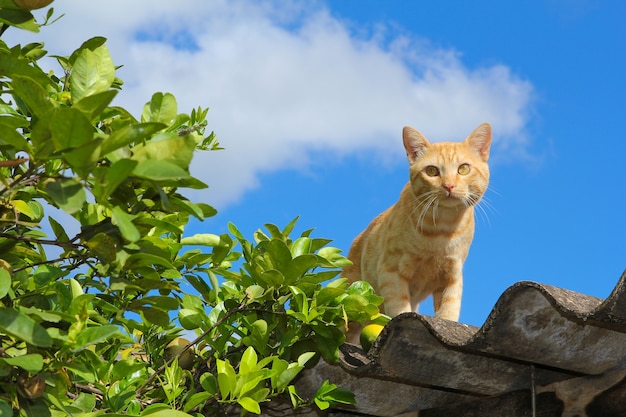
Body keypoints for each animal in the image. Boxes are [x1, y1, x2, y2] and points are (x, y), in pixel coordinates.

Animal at [342, 122, 492, 322]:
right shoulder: (391, 271)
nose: (449, 185)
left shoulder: (452, 276)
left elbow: (449, 311)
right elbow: (399, 309)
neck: (442, 231)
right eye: (432, 171)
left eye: (463, 169)